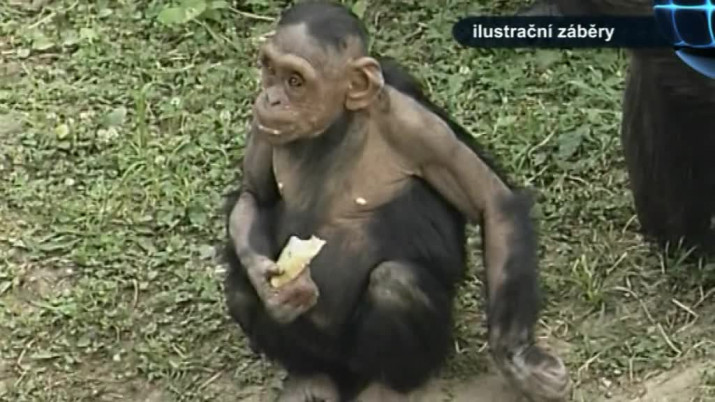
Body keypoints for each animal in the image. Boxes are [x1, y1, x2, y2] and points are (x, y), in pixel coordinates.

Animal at [223, 1, 570, 401]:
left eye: (295, 81)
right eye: (270, 69)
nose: (272, 98)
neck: (338, 124)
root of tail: (345, 373)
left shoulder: (420, 127)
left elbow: (492, 201)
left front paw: (518, 358)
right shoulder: (261, 125)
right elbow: (254, 194)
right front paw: (272, 286)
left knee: (396, 286)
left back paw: (384, 386)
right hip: (319, 351)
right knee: (241, 287)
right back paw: (310, 376)